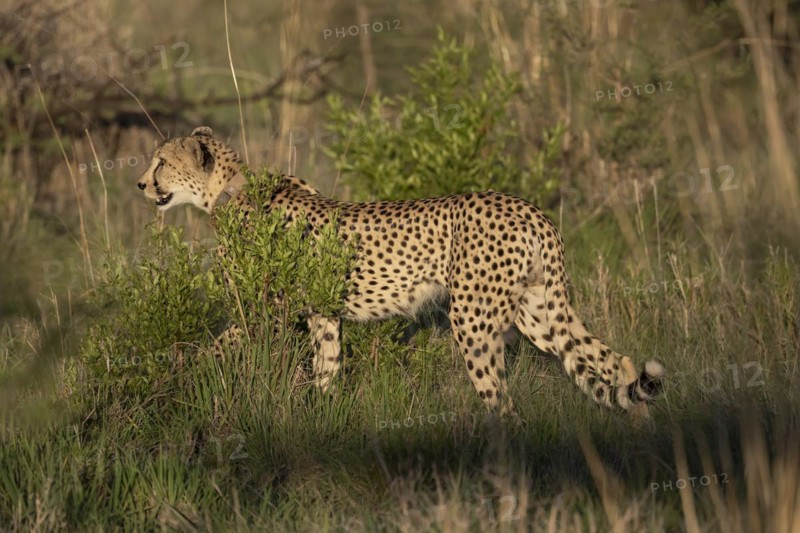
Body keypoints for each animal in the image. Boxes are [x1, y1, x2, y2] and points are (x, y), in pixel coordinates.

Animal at [137, 126, 664, 420]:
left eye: (161, 162)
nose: (140, 183)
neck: (228, 192)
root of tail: (527, 208)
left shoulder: (261, 314)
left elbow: (210, 349)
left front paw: (173, 378)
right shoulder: (324, 315)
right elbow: (327, 371)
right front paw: (322, 423)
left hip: (474, 319)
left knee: (502, 400)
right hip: (539, 311)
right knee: (614, 362)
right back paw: (643, 435)